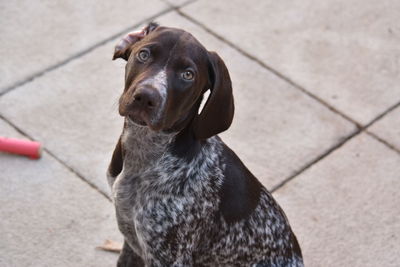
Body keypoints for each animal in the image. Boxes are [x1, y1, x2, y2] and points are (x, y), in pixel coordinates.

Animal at [107, 23, 304, 267]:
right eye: (143, 54)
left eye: (188, 75)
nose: (145, 97)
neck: (146, 151)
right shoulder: (131, 242)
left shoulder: (169, 256)